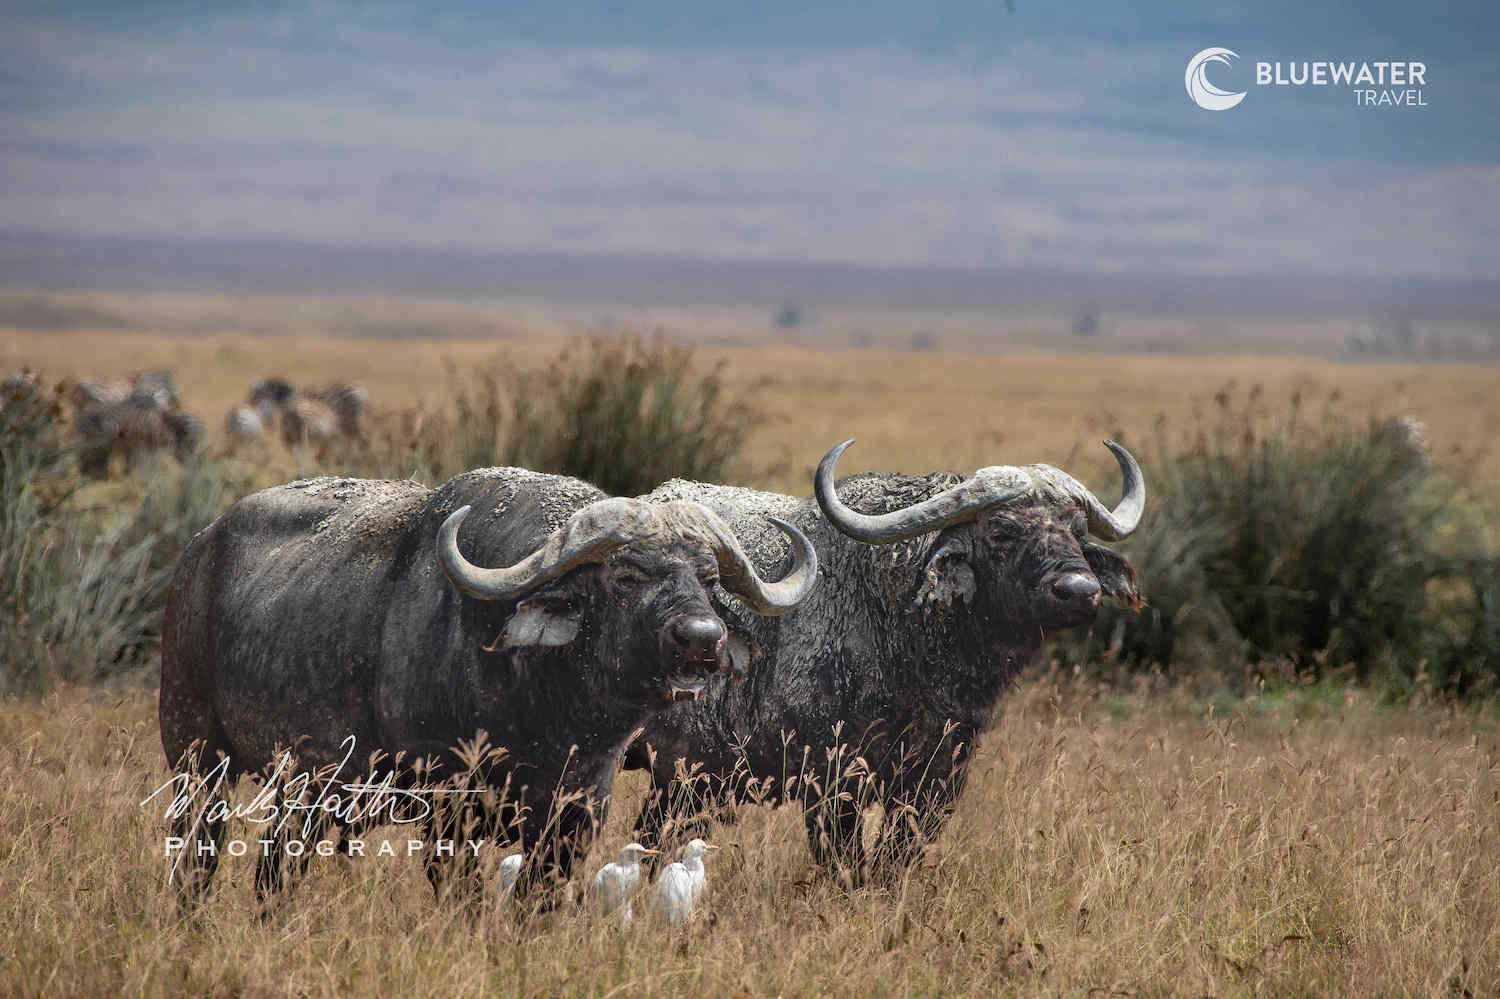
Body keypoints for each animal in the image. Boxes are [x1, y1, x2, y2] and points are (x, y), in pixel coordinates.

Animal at [159, 467, 816, 902]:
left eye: (708, 578)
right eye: (626, 575)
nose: (702, 639)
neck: (543, 718)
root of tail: (198, 548)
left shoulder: (576, 817)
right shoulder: (449, 812)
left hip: (305, 792)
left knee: (274, 864)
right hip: (196, 756)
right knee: (198, 849)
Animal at [625, 439, 1144, 880]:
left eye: (1075, 529)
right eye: (1003, 530)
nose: (1080, 589)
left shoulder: (936, 780)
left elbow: (897, 859)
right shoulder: (831, 781)